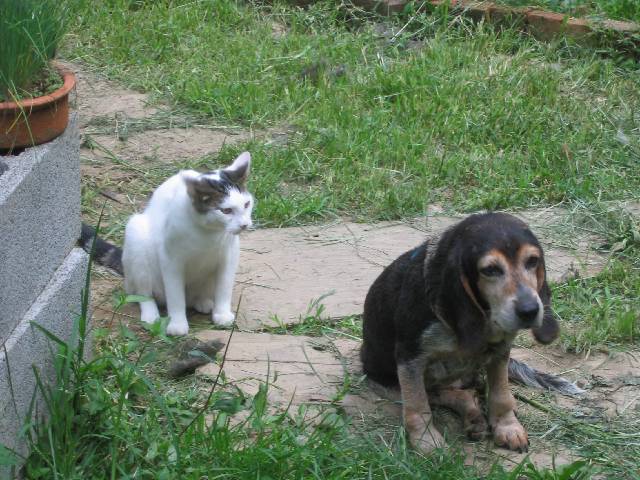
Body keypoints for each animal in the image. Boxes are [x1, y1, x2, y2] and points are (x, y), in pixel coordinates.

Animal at [120, 152, 252, 336]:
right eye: (226, 211)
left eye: (246, 204)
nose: (244, 225)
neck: (208, 234)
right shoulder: (170, 259)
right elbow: (175, 295)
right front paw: (177, 324)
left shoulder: (230, 254)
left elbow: (225, 287)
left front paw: (222, 314)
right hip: (137, 240)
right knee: (144, 292)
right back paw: (150, 315)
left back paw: (202, 301)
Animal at [362, 213, 584, 454]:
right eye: (490, 270)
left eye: (533, 261)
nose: (530, 311)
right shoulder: (410, 359)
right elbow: (418, 406)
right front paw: (427, 441)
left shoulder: (500, 352)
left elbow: (501, 395)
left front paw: (508, 427)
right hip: (386, 380)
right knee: (444, 394)